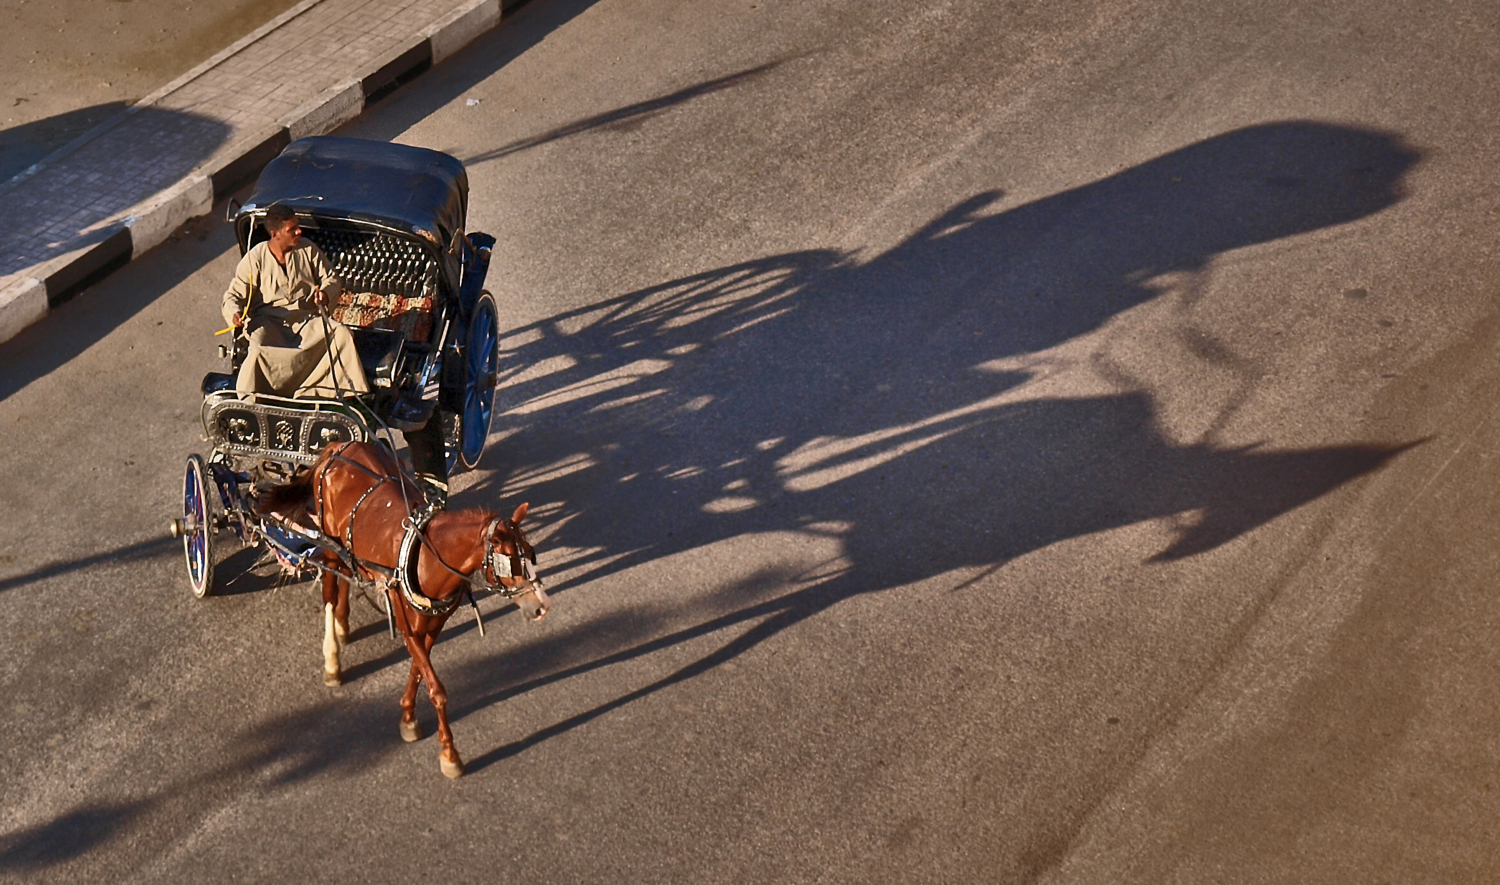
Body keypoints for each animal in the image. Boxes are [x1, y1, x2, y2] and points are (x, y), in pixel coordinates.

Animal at [259, 441, 552, 780]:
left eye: (531, 553)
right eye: (510, 563)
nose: (542, 606)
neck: (426, 556)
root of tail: (340, 444)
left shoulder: (434, 623)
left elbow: (418, 669)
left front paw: (409, 717)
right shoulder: (405, 621)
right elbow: (436, 687)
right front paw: (449, 754)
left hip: (347, 547)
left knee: (347, 573)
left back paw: (344, 626)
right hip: (328, 542)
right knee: (330, 588)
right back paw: (332, 656)